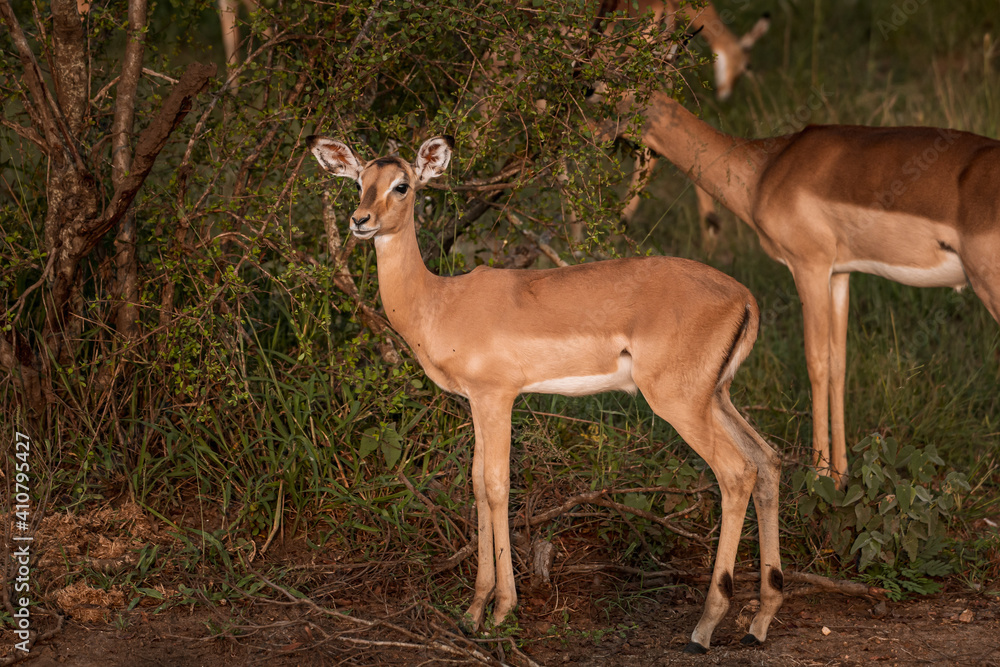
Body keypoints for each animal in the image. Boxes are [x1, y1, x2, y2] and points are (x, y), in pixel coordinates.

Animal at [307, 135, 784, 653]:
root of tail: (745, 297)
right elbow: (477, 485)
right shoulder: (477, 402)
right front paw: (472, 612)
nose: (360, 221)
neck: (439, 302)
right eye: (359, 180)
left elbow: (497, 485)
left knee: (736, 473)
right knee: (767, 460)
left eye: (402, 185)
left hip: (680, 402)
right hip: (716, 397)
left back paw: (703, 628)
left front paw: (499, 611)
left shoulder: (497, 397)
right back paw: (760, 621)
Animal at [594, 90, 1000, 486]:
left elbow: (815, 363)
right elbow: (838, 363)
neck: (765, 170)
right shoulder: (839, 274)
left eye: (605, 96)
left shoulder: (808, 267)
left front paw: (819, 475)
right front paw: (841, 474)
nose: (594, 135)